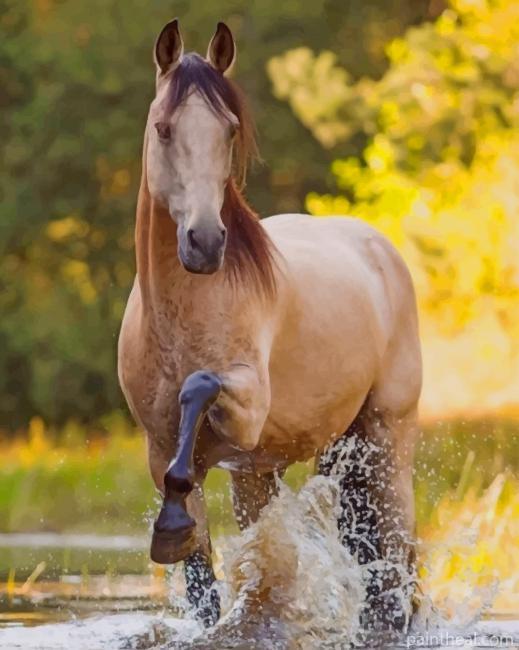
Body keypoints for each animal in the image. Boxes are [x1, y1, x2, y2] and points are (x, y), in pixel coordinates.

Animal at [118, 19, 422, 634]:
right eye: (164, 128)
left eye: (229, 130)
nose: (206, 243)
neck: (179, 319)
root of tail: (379, 248)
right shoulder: (161, 451)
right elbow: (202, 586)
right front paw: (174, 532)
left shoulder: (246, 408)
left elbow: (199, 385)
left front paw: (169, 528)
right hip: (265, 473)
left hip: (386, 443)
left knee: (394, 568)